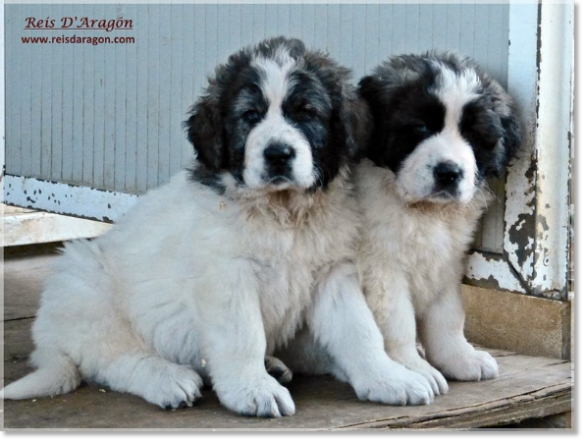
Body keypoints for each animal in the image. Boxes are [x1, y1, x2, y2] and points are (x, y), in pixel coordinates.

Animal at [2, 38, 434, 418]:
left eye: (306, 113)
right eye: (250, 116)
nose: (278, 154)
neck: (283, 216)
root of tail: (49, 342)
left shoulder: (332, 273)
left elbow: (360, 332)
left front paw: (389, 379)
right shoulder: (228, 276)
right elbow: (244, 337)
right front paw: (253, 390)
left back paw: (271, 365)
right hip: (82, 284)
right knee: (112, 359)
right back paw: (168, 380)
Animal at [354, 51, 524, 394]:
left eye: (473, 135)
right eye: (419, 128)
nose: (449, 172)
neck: (424, 212)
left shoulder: (445, 263)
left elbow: (448, 316)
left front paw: (460, 358)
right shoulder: (382, 271)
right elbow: (398, 323)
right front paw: (413, 368)